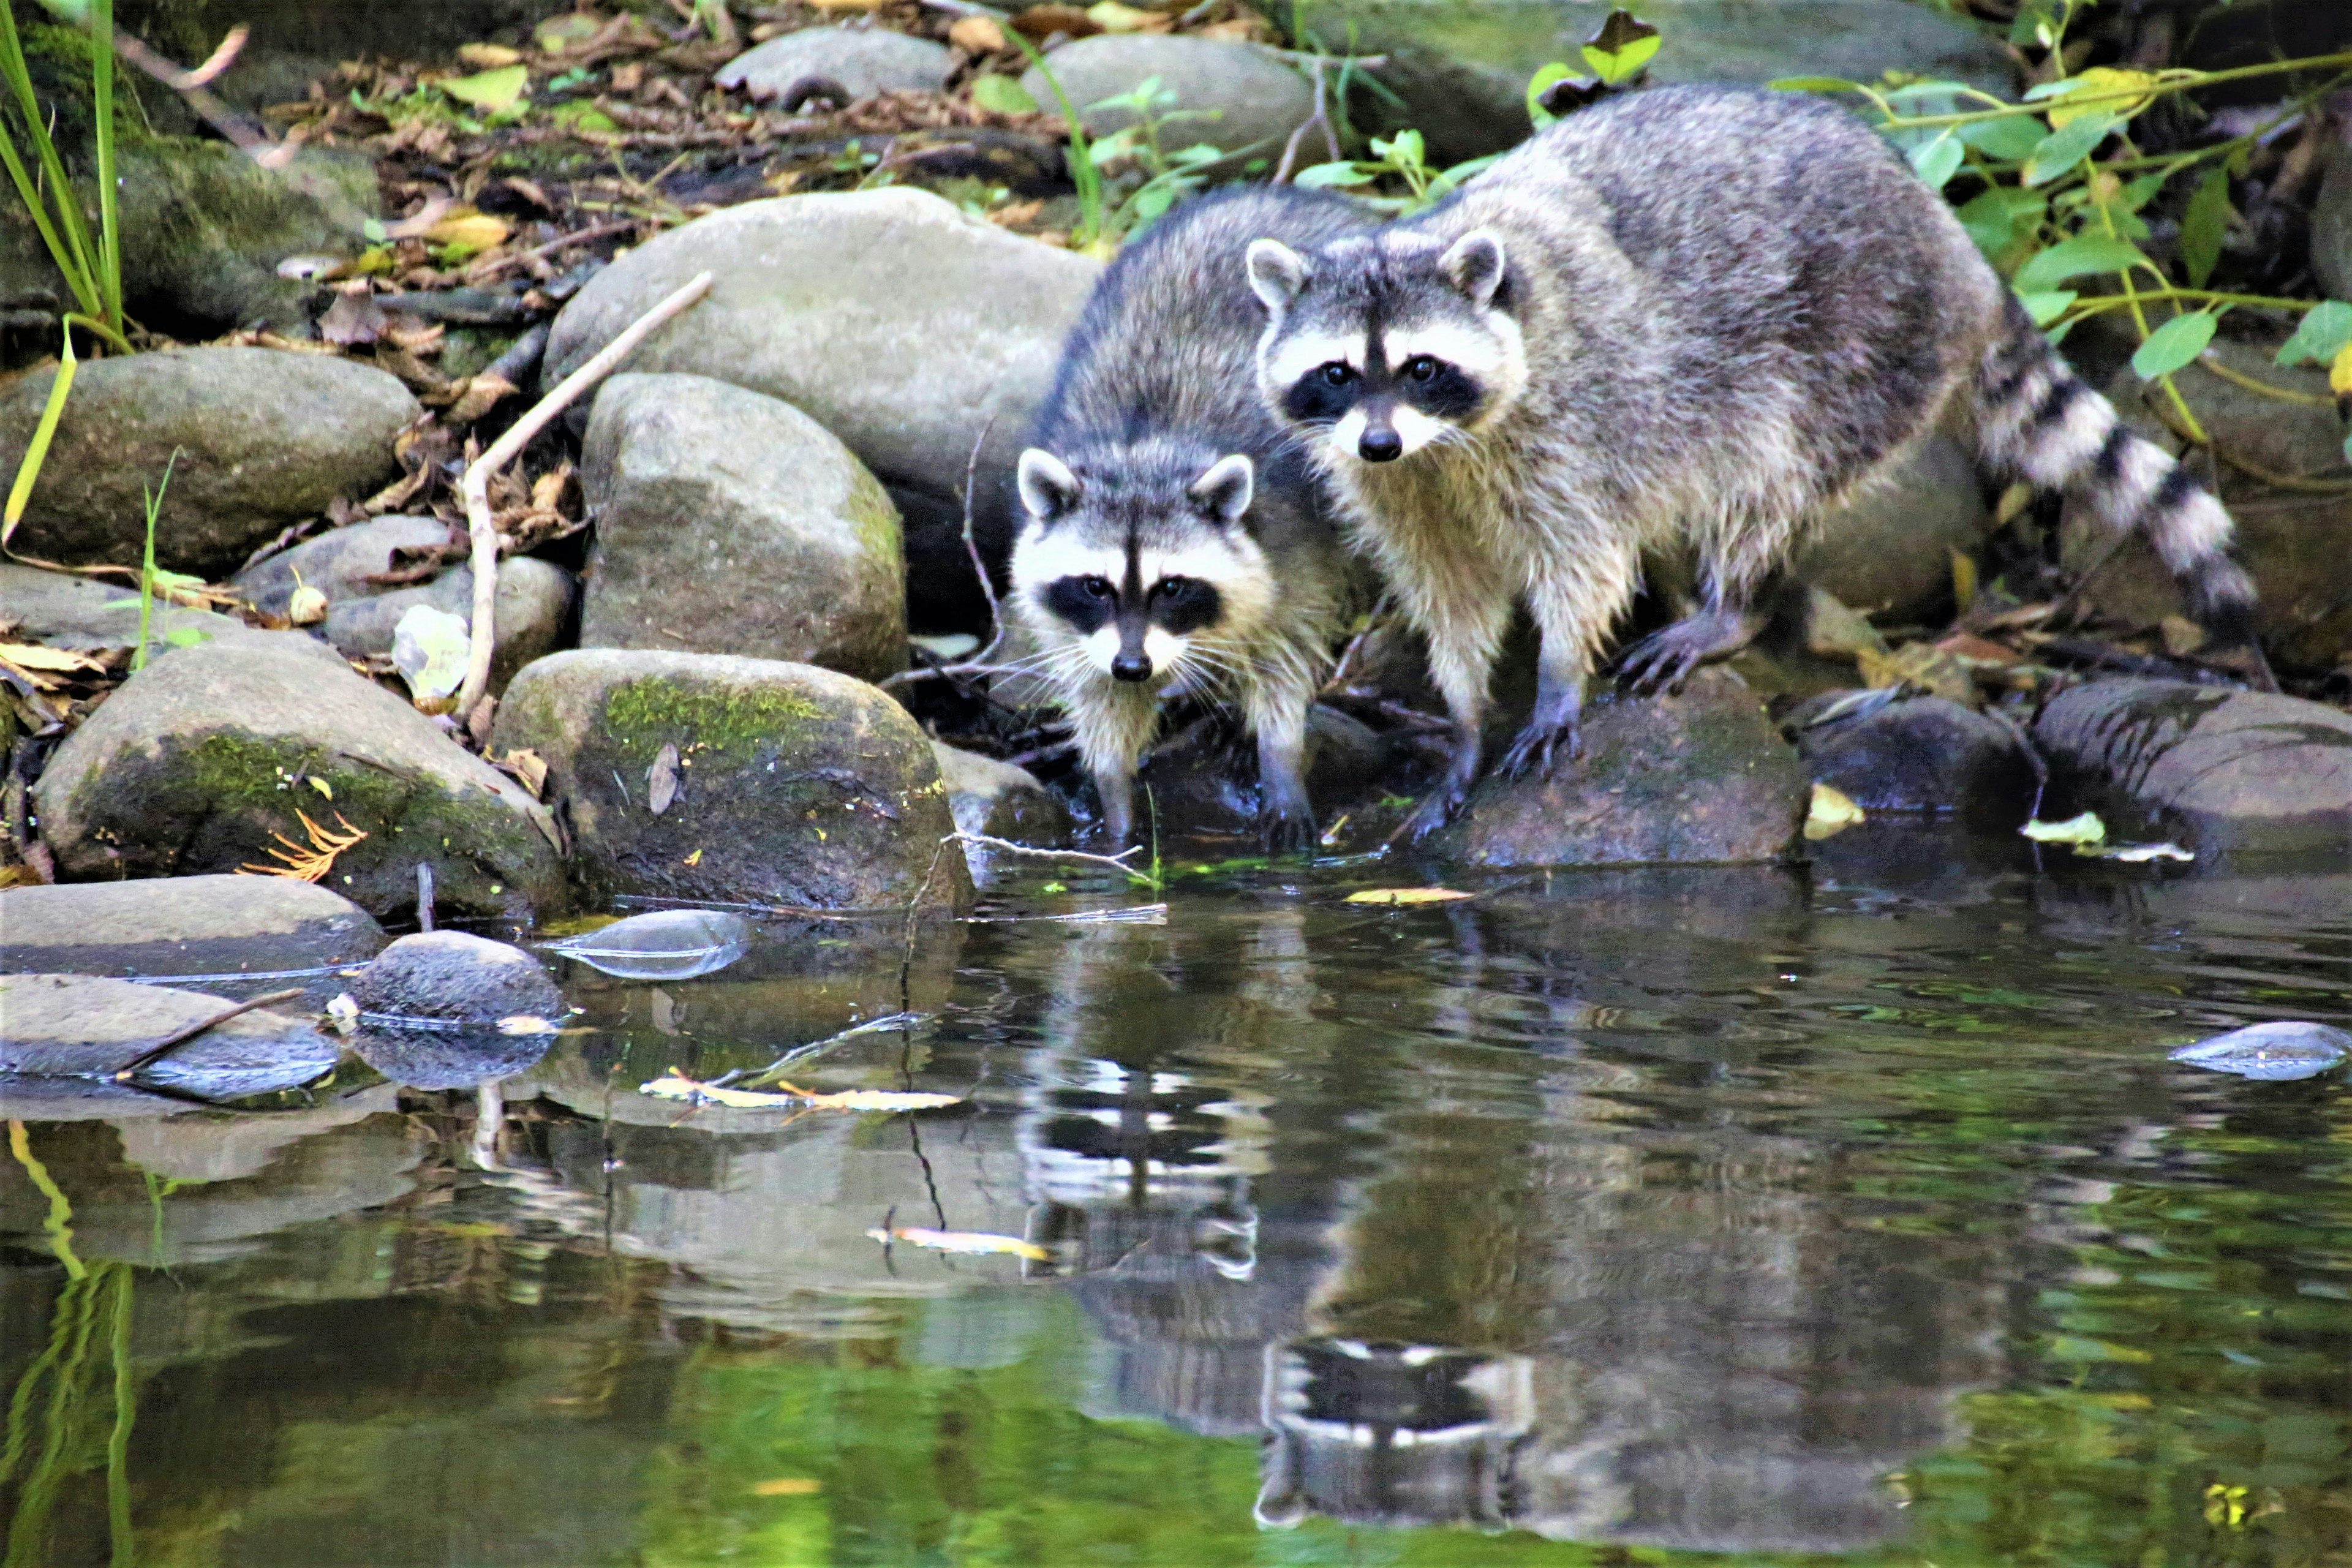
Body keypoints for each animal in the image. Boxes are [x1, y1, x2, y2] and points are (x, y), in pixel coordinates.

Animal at [1011, 188, 1373, 851]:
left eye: (1172, 587)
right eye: (1095, 586)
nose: (1134, 666)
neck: (1143, 454)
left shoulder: (1290, 536)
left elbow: (1287, 649)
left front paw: (1280, 756)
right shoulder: (1073, 622)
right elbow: (1099, 697)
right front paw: (1115, 806)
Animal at [1251, 80, 2258, 842]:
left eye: (1422, 367)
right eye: (1338, 374)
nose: (1379, 440)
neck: (1440, 449)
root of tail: (1953, 243)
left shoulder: (1572, 428)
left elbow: (1584, 559)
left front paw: (1558, 678)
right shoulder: (1395, 489)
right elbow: (1449, 591)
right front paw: (1463, 721)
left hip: (1853, 342)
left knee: (1768, 472)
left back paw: (1735, 604)